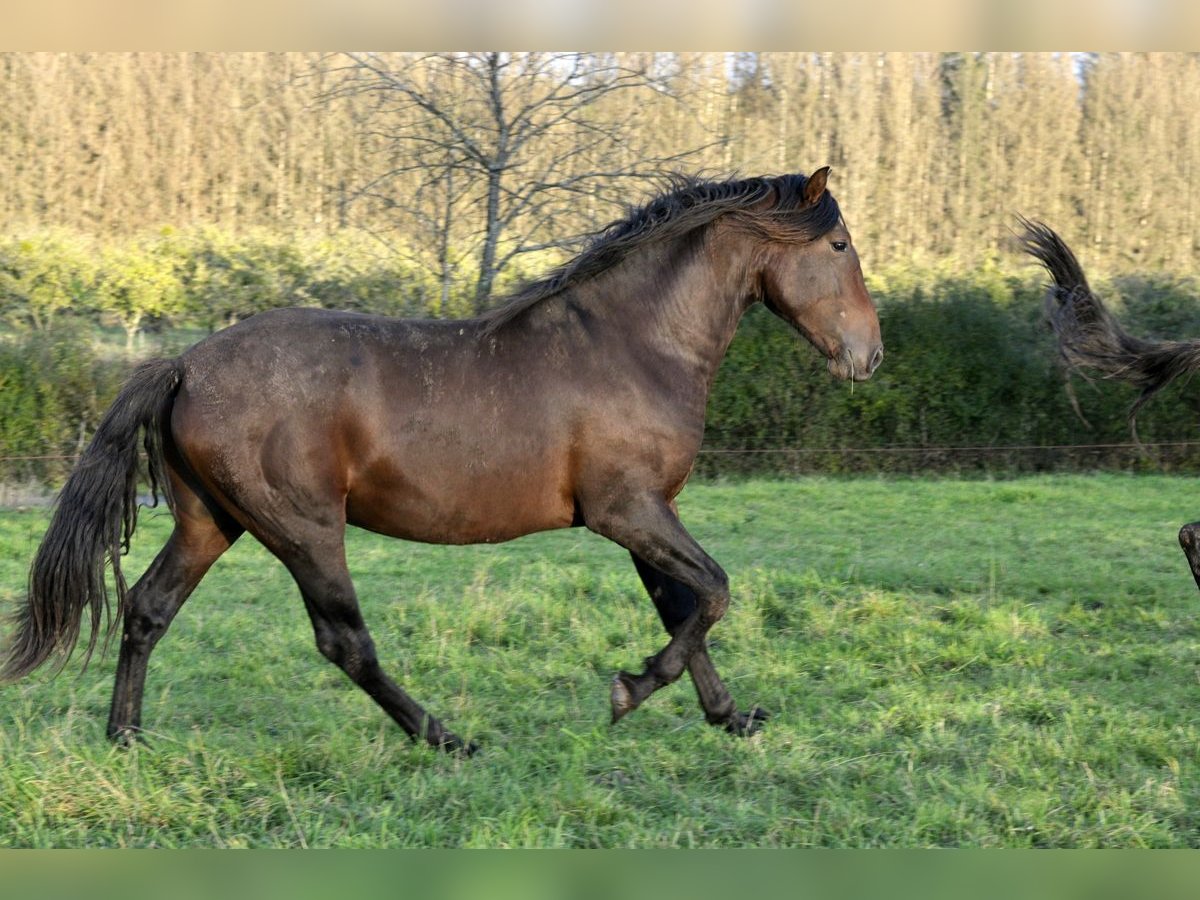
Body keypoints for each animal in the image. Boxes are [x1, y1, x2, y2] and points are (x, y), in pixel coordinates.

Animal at [0, 169, 883, 753]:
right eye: (839, 242)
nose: (869, 356)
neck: (633, 343)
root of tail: (185, 362)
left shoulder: (647, 514)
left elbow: (685, 610)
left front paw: (729, 717)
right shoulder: (626, 511)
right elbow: (714, 594)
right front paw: (627, 692)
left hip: (211, 521)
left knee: (148, 609)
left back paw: (126, 737)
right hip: (303, 528)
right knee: (344, 641)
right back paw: (444, 737)